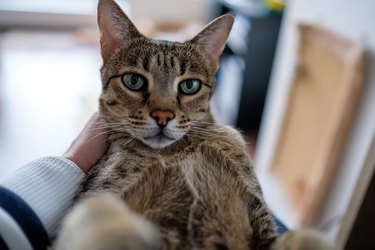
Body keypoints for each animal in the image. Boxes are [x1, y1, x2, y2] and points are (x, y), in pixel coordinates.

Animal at [53, 0, 334, 250]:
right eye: (133, 81)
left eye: (190, 85)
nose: (163, 116)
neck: (177, 151)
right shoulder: (99, 196)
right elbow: (100, 217)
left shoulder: (261, 218)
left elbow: (304, 239)